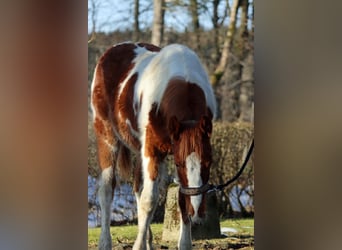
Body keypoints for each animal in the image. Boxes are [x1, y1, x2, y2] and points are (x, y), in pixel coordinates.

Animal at [91, 42, 216, 249]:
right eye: (180, 164)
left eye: (209, 162)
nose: (197, 213)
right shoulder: (152, 151)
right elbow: (149, 201)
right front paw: (137, 246)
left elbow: (179, 199)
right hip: (107, 138)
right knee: (107, 190)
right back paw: (105, 243)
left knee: (137, 187)